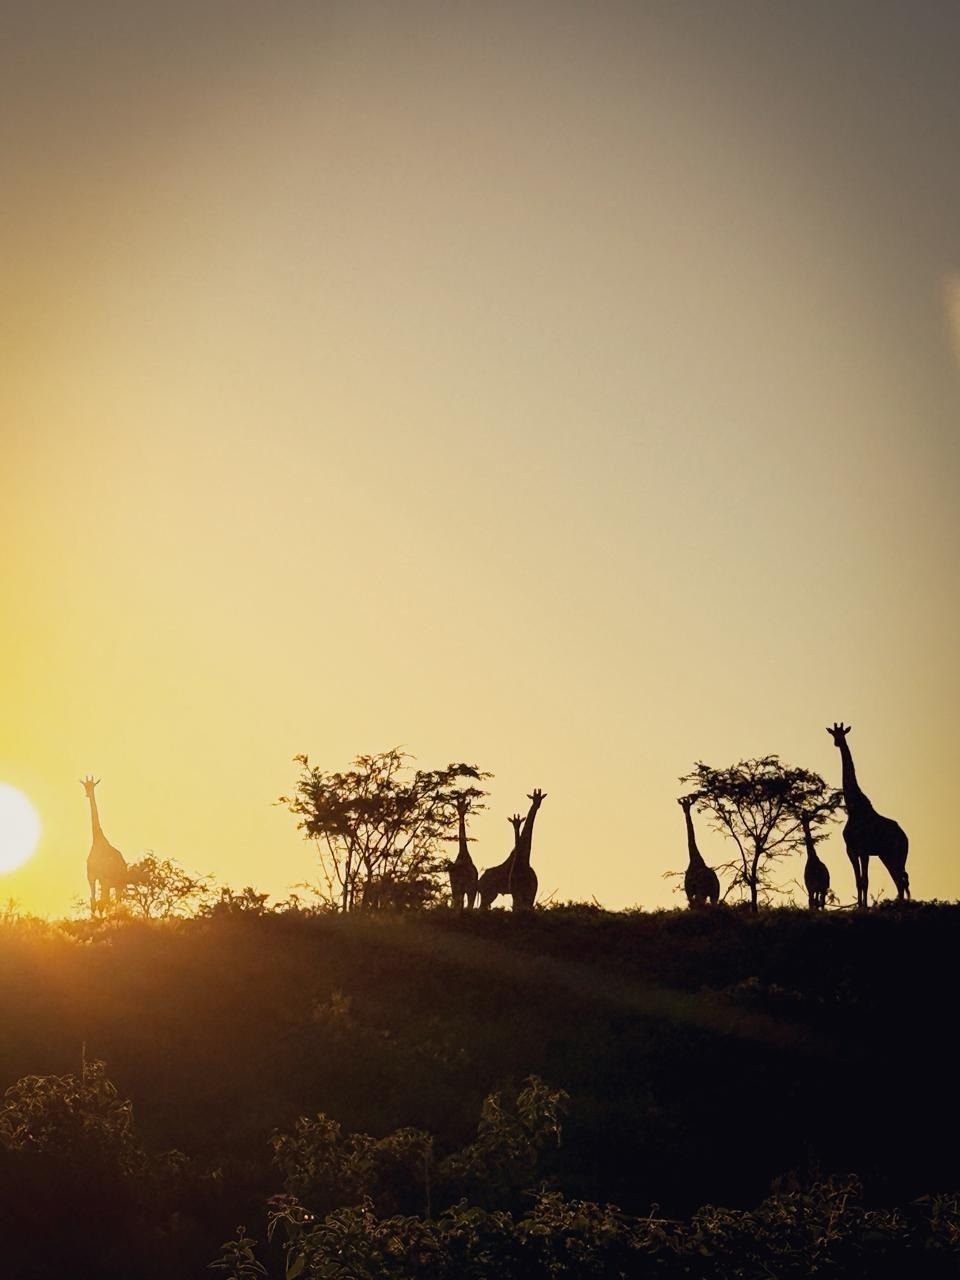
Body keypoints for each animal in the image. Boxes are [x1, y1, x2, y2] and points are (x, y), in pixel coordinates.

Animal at [81, 776, 134, 914]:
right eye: (85, 786)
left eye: (93, 785)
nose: (87, 794)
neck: (97, 840)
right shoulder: (92, 877)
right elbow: (94, 901)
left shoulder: (101, 879)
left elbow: (99, 902)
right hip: (111, 883)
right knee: (109, 900)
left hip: (116, 883)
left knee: (113, 900)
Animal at [826, 723, 909, 906]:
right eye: (833, 734)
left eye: (843, 733)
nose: (837, 742)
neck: (854, 809)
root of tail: (906, 838)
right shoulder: (851, 850)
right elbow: (858, 880)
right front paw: (860, 905)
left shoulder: (863, 850)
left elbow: (865, 880)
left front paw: (864, 906)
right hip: (887, 855)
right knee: (900, 879)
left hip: (896, 854)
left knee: (902, 880)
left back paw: (900, 904)